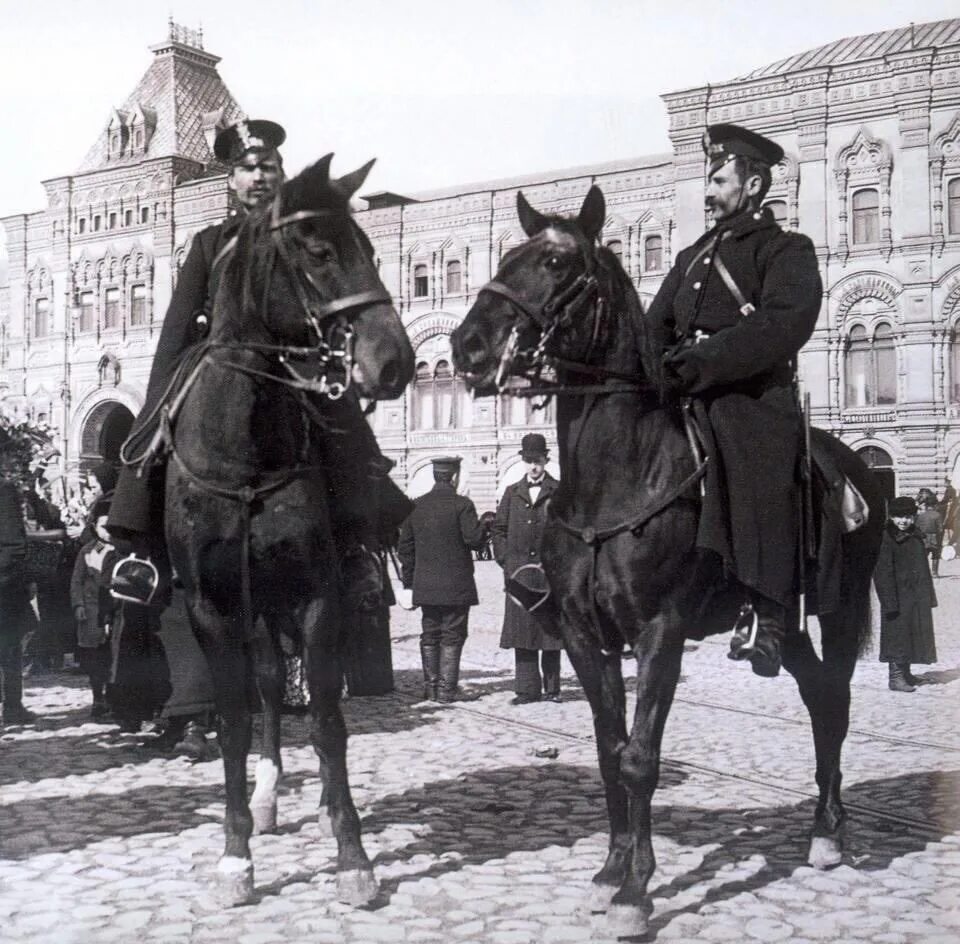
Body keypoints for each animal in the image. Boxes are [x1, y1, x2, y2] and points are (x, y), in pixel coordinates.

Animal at [163, 157, 414, 908]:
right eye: (319, 252)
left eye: (370, 247)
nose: (395, 362)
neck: (246, 452)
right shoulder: (213, 609)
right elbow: (234, 721)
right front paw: (235, 856)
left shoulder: (315, 595)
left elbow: (328, 722)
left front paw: (353, 856)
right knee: (270, 688)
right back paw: (267, 799)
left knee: (290, 688)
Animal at [452, 188, 884, 940]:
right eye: (505, 258)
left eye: (557, 262)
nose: (467, 346)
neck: (617, 477)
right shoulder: (585, 638)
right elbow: (608, 751)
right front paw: (610, 870)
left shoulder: (661, 633)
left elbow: (640, 759)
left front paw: (636, 892)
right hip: (788, 619)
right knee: (815, 696)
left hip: (841, 605)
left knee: (834, 704)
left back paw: (830, 831)